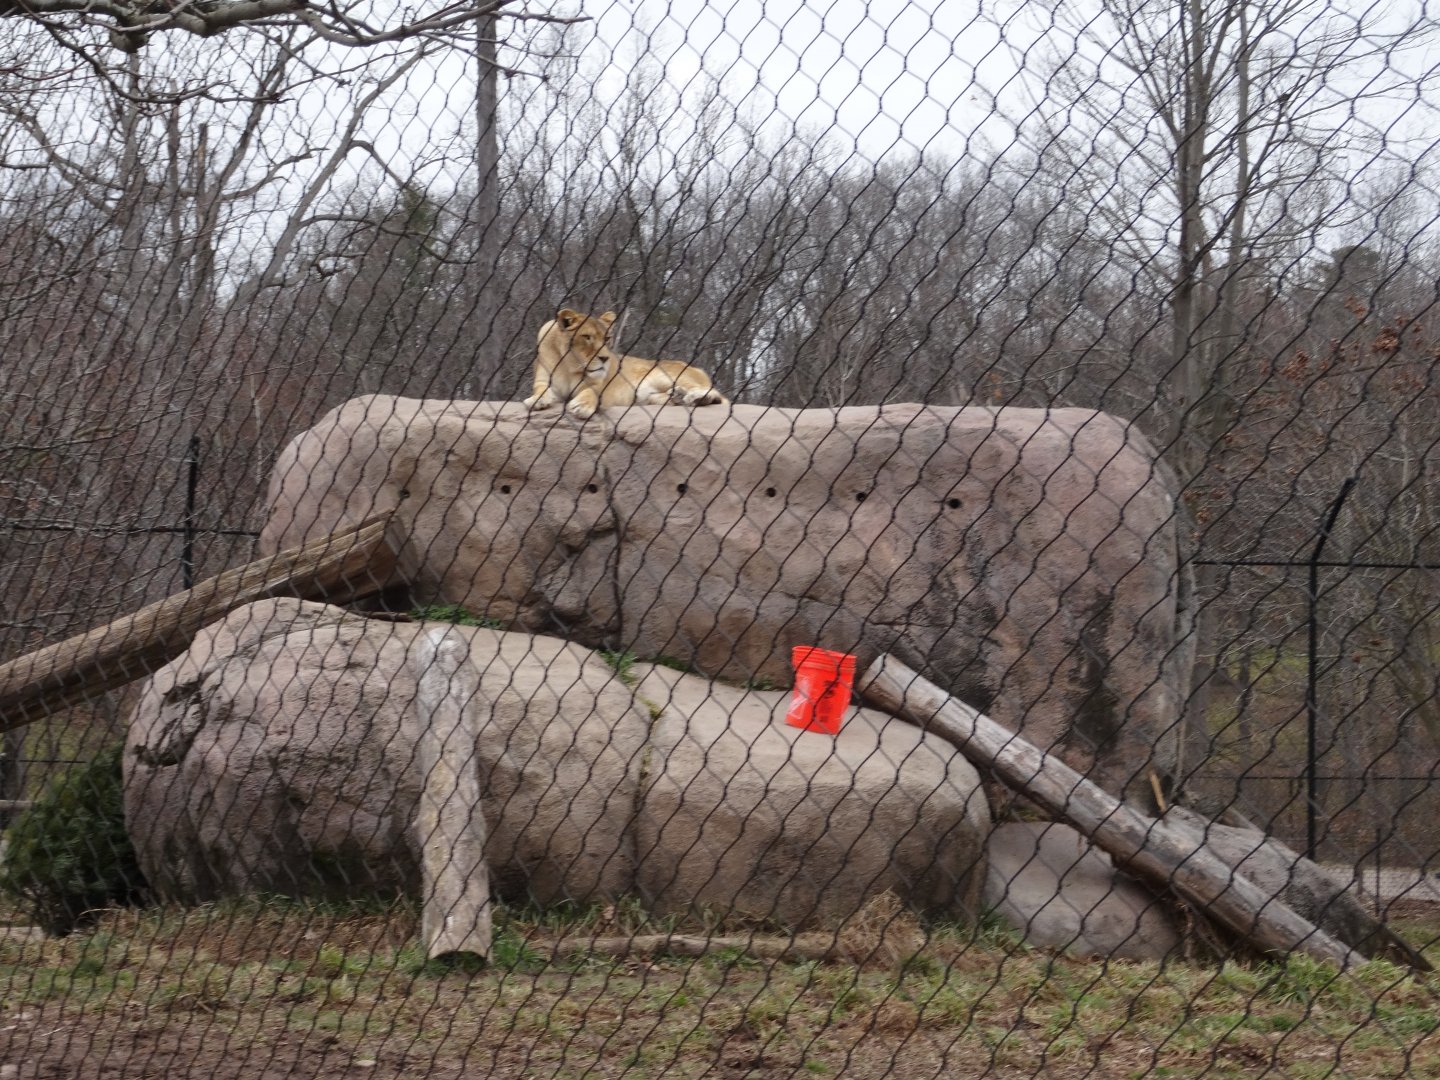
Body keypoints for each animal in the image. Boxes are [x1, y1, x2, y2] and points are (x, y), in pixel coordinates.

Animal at [522, 308, 728, 420]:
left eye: (607, 339)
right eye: (587, 337)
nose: (605, 358)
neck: (569, 365)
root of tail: (697, 368)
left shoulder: (599, 384)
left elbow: (591, 392)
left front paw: (581, 406)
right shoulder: (544, 381)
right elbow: (540, 390)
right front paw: (537, 400)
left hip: (664, 374)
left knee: (715, 394)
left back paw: (694, 398)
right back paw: (677, 397)